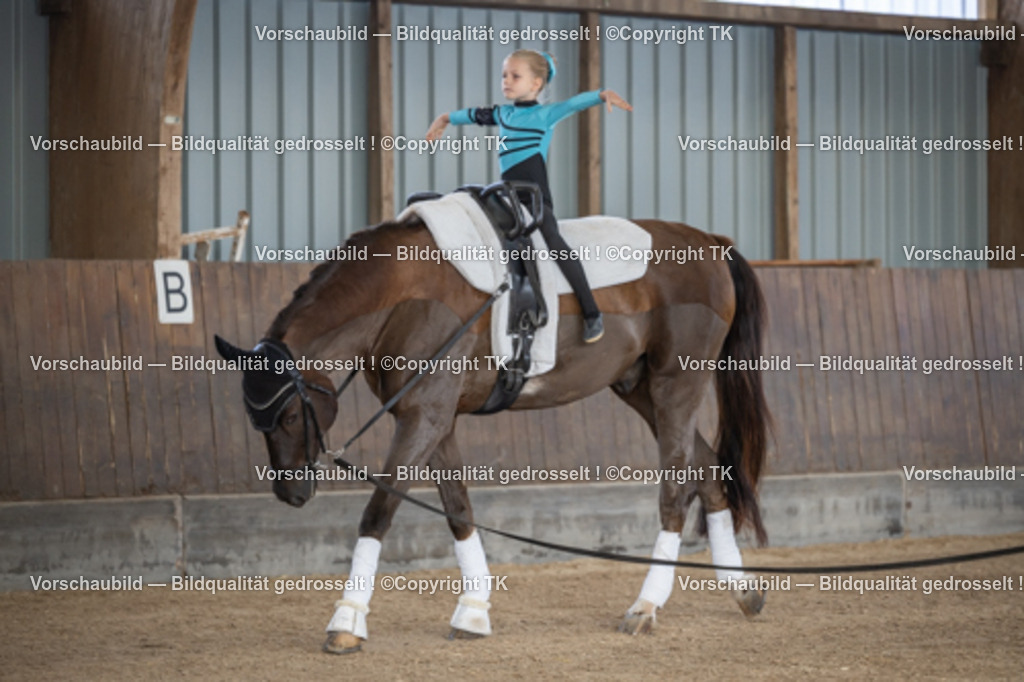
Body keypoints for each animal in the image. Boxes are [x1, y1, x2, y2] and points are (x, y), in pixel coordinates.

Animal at [214, 212, 770, 654]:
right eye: (253, 419)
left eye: (289, 417)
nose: (291, 493)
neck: (405, 294)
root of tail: (711, 243)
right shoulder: (436, 419)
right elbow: (458, 509)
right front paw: (473, 611)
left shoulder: (423, 416)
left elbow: (379, 511)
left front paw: (346, 621)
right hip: (640, 389)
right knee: (711, 476)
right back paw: (741, 590)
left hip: (677, 385)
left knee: (676, 490)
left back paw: (645, 606)